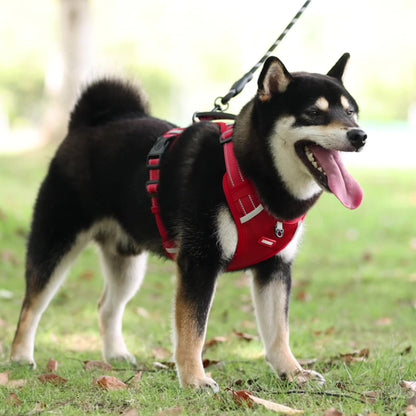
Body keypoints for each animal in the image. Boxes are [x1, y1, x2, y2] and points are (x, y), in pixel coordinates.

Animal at [11, 53, 366, 392]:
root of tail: (86, 126)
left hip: (127, 264)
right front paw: (195, 379)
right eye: (314, 113)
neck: (250, 174)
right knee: (32, 305)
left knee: (106, 307)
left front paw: (292, 373)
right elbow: (193, 330)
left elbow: (279, 332)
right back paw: (20, 357)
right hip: (56, 243)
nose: (360, 135)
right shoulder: (200, 262)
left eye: (351, 112)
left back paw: (116, 354)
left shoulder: (275, 267)